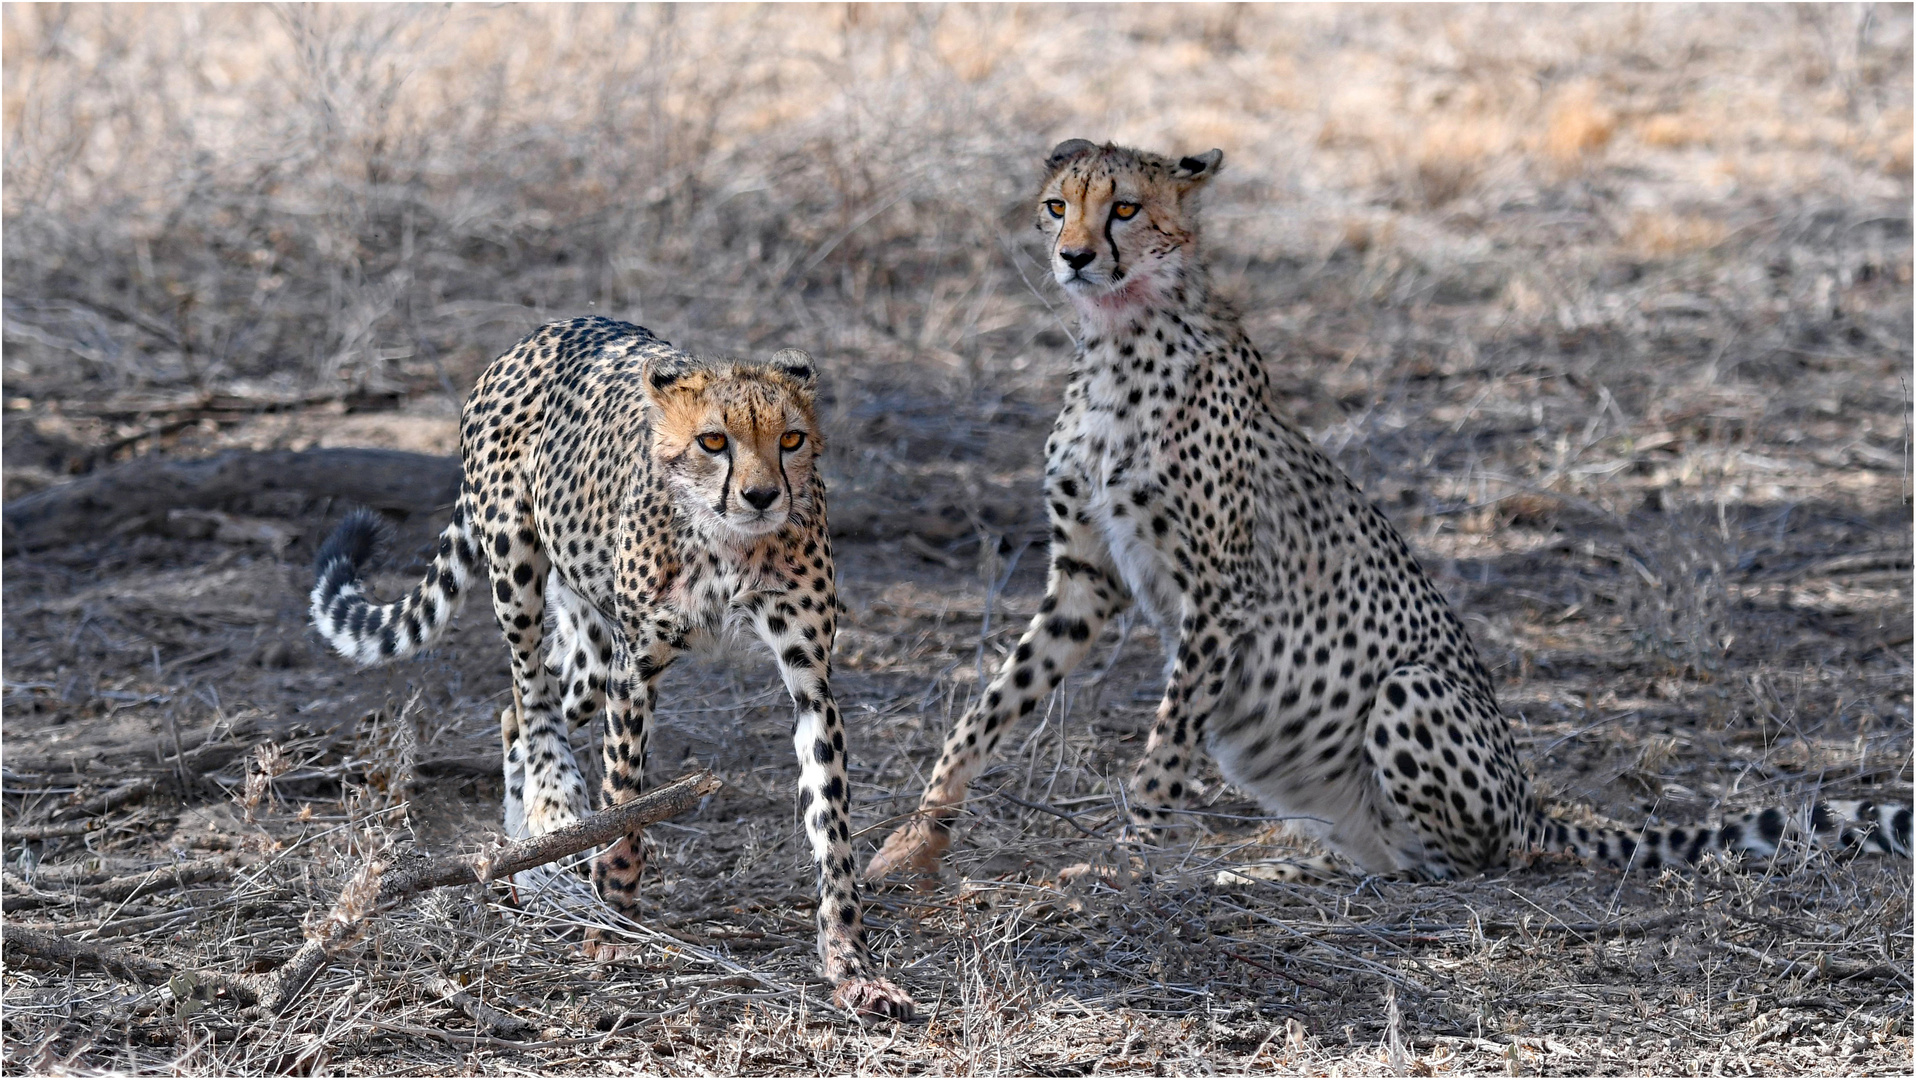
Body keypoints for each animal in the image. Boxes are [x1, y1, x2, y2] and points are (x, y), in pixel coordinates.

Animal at [310, 317, 915, 1018]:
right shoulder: (638, 667)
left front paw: (850, 963)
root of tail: (546, 331)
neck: (729, 543)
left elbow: (832, 825)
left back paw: (529, 863)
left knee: (516, 713)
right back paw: (551, 808)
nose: (762, 495)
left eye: (790, 438)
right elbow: (623, 800)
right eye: (714, 440)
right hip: (519, 566)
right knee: (529, 692)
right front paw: (611, 924)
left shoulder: (810, 679)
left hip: (593, 646)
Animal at [866, 141, 1900, 884]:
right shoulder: (1085, 580)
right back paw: (1282, 862)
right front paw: (914, 841)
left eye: (1124, 207)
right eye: (1058, 205)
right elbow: (988, 706)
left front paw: (1125, 857)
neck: (1119, 337)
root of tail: (1529, 800)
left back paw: (1290, 868)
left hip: (1413, 687)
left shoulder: (1219, 595)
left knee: (1453, 863)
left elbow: (1162, 747)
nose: (1074, 257)